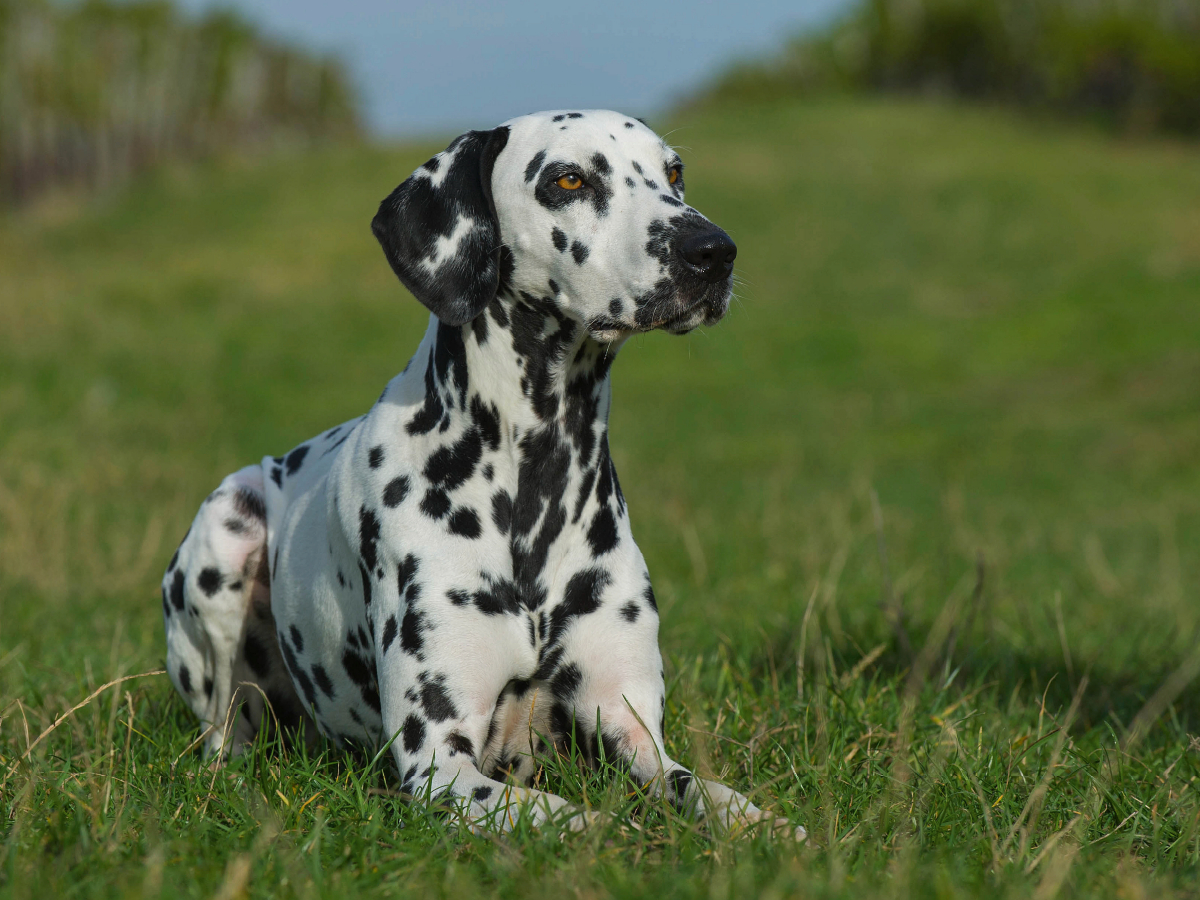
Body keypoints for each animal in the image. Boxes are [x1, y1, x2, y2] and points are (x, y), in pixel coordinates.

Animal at [157, 109, 796, 844]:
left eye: (674, 172)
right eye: (568, 179)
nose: (713, 250)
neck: (536, 480)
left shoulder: (632, 731)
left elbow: (707, 792)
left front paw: (767, 826)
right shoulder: (441, 767)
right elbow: (574, 819)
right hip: (225, 534)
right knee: (221, 737)